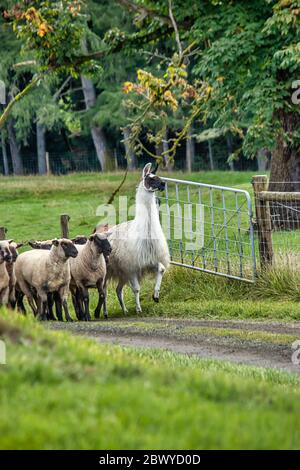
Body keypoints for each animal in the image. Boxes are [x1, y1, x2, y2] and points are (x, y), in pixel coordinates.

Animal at [105, 163, 171, 314]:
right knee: (103, 290)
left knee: (118, 290)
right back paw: (104, 312)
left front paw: (156, 296)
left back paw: (124, 310)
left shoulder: (150, 259)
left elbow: (161, 269)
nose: (163, 184)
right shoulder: (132, 267)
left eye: (158, 176)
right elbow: (136, 289)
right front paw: (139, 308)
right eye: (150, 178)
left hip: (121, 272)